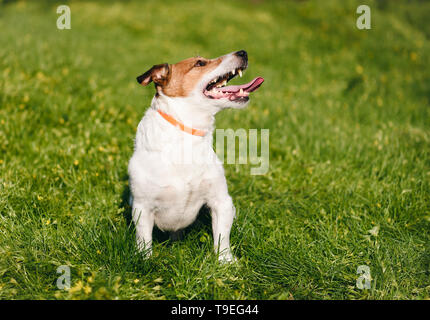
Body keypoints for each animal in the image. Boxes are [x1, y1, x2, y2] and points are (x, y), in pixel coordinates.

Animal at [126, 49, 264, 260]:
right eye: (200, 63)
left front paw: (226, 262)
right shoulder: (142, 207)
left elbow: (222, 237)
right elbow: (144, 240)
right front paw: (144, 260)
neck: (187, 138)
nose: (243, 52)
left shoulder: (221, 201)